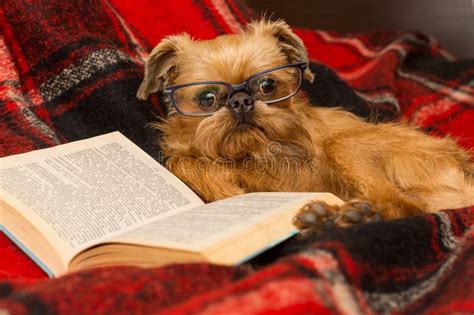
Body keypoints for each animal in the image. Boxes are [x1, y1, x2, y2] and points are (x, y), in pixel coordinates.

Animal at [137, 18, 474, 235]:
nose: (242, 102)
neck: (249, 153)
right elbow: (180, 159)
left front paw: (220, 183)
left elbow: (190, 164)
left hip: (344, 143)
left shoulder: (288, 177)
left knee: (401, 205)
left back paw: (349, 217)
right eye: (207, 98)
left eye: (267, 85)